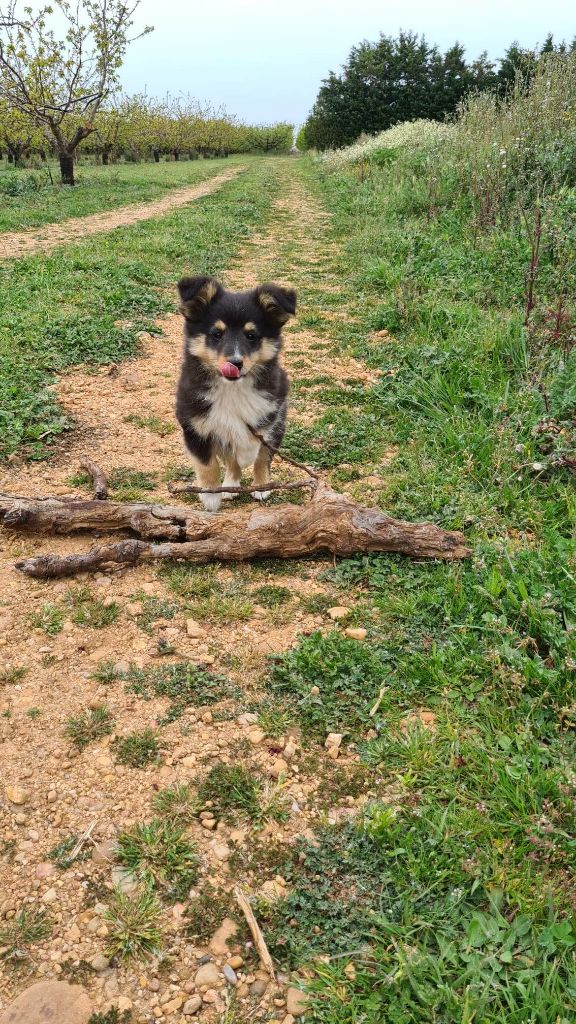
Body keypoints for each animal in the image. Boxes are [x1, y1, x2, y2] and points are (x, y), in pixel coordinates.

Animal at [175, 276, 295, 512]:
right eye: (216, 334)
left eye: (251, 336)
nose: (235, 363)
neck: (232, 388)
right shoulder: (194, 426)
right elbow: (207, 464)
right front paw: (210, 497)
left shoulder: (272, 411)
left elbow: (259, 450)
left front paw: (257, 478)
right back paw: (229, 485)